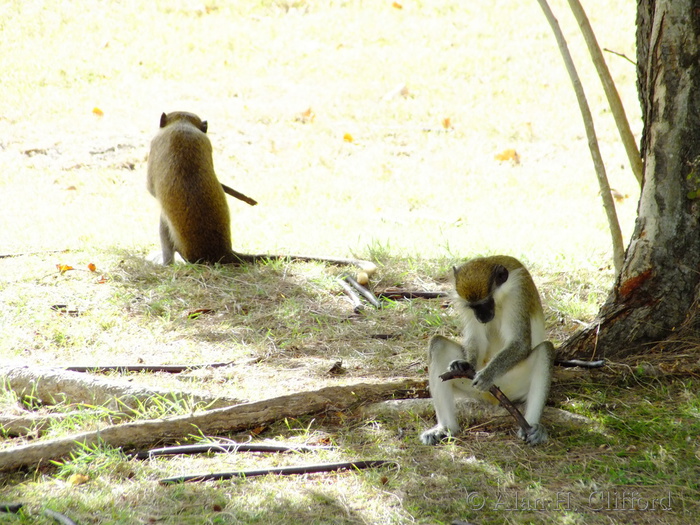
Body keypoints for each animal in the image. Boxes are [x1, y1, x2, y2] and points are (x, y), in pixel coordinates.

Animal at [146, 111, 376, 273]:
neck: (182, 125)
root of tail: (221, 252)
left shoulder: (155, 143)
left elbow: (151, 189)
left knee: (163, 220)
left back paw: (166, 262)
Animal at [420, 255, 554, 446]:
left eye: (485, 303)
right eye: (473, 307)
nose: (481, 317)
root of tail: (494, 396)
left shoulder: (518, 293)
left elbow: (520, 343)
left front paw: (487, 375)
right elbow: (477, 338)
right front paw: (464, 364)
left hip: (515, 383)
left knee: (545, 349)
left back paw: (533, 428)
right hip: (471, 388)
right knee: (438, 344)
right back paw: (445, 428)